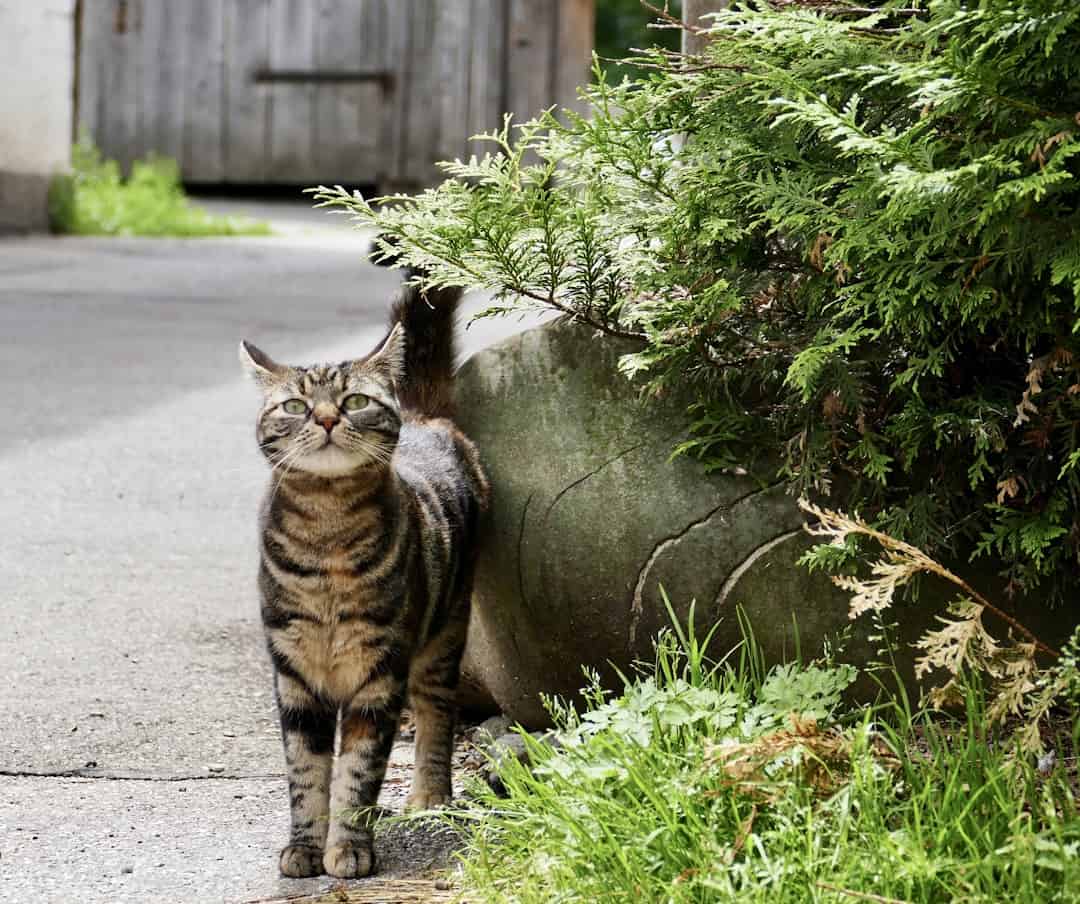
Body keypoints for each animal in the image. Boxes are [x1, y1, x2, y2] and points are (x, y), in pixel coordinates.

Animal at [240, 282, 490, 872]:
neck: (328, 533)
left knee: (436, 712)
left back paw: (430, 794)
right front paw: (306, 846)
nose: (328, 419)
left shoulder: (378, 674)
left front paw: (350, 846)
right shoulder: (294, 676)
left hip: (443, 636)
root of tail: (423, 416)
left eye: (355, 401)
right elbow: (306, 773)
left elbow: (357, 770)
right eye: (295, 406)